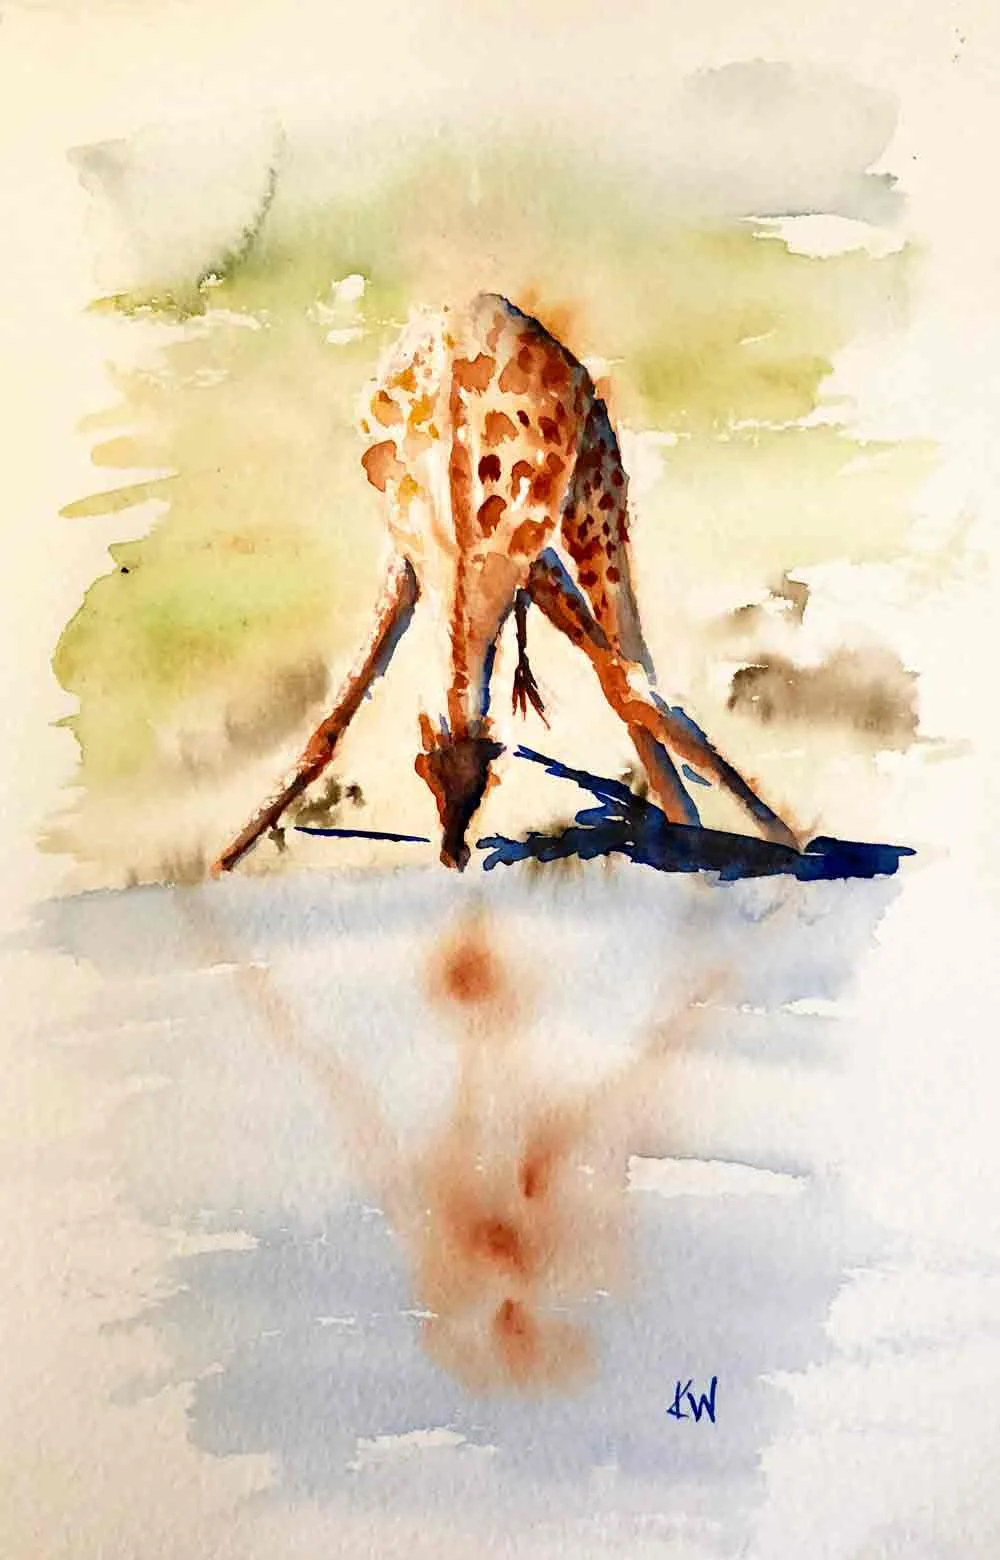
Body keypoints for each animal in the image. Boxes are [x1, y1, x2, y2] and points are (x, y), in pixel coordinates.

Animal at [212, 293, 798, 874]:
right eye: (424, 771)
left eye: (487, 780)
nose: (452, 855)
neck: (459, 532)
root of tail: (481, 304)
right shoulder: (408, 561)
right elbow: (337, 712)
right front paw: (228, 853)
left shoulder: (533, 559)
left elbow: (625, 684)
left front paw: (784, 834)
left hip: (598, 493)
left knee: (630, 646)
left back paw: (688, 813)